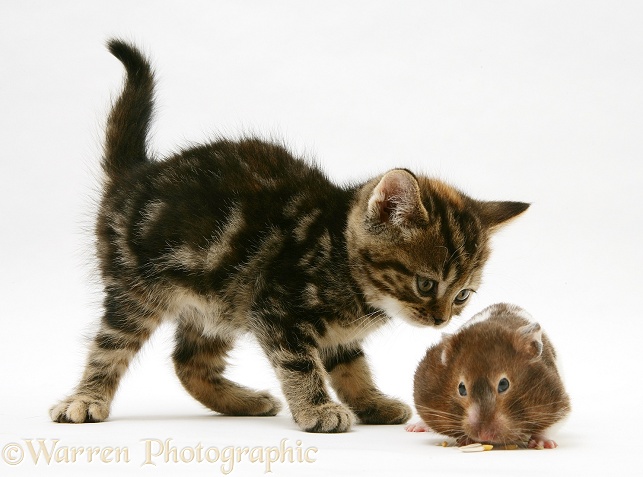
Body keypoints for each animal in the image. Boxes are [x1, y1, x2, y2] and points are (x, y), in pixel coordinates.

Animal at [51, 39, 528, 430]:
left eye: (463, 295)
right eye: (426, 284)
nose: (442, 320)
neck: (340, 256)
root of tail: (135, 175)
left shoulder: (332, 333)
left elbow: (352, 367)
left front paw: (371, 404)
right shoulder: (277, 308)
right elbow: (300, 364)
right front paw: (318, 409)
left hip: (220, 299)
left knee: (188, 361)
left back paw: (242, 402)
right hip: (141, 289)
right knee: (111, 346)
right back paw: (85, 400)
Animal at [410, 304, 572, 448]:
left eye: (504, 384)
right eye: (461, 388)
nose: (484, 436)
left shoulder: (558, 402)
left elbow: (550, 426)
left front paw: (541, 444)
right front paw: (466, 440)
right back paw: (414, 427)